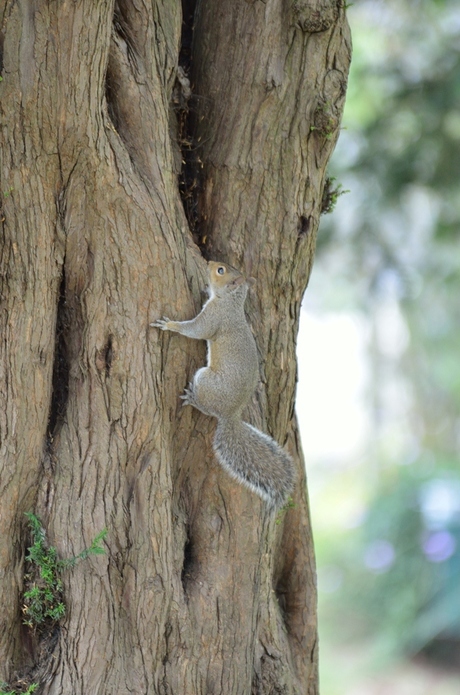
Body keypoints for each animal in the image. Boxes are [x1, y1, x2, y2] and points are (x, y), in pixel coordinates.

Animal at [151, 260, 294, 512]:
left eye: (220, 271)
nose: (209, 262)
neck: (231, 301)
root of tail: (231, 414)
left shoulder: (214, 318)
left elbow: (196, 330)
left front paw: (170, 324)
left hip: (204, 379)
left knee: (206, 406)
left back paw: (193, 399)